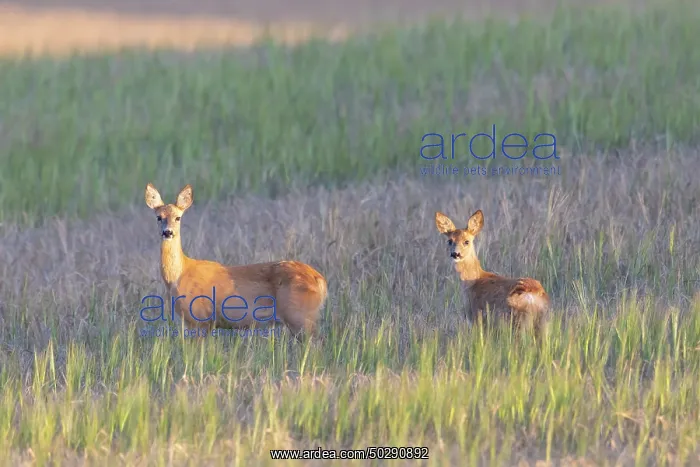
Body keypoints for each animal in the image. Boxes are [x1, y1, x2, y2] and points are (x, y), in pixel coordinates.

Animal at [144, 183, 328, 338]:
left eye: (178, 217)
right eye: (159, 217)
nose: (168, 232)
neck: (178, 275)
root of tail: (320, 280)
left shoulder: (201, 318)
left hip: (299, 316)